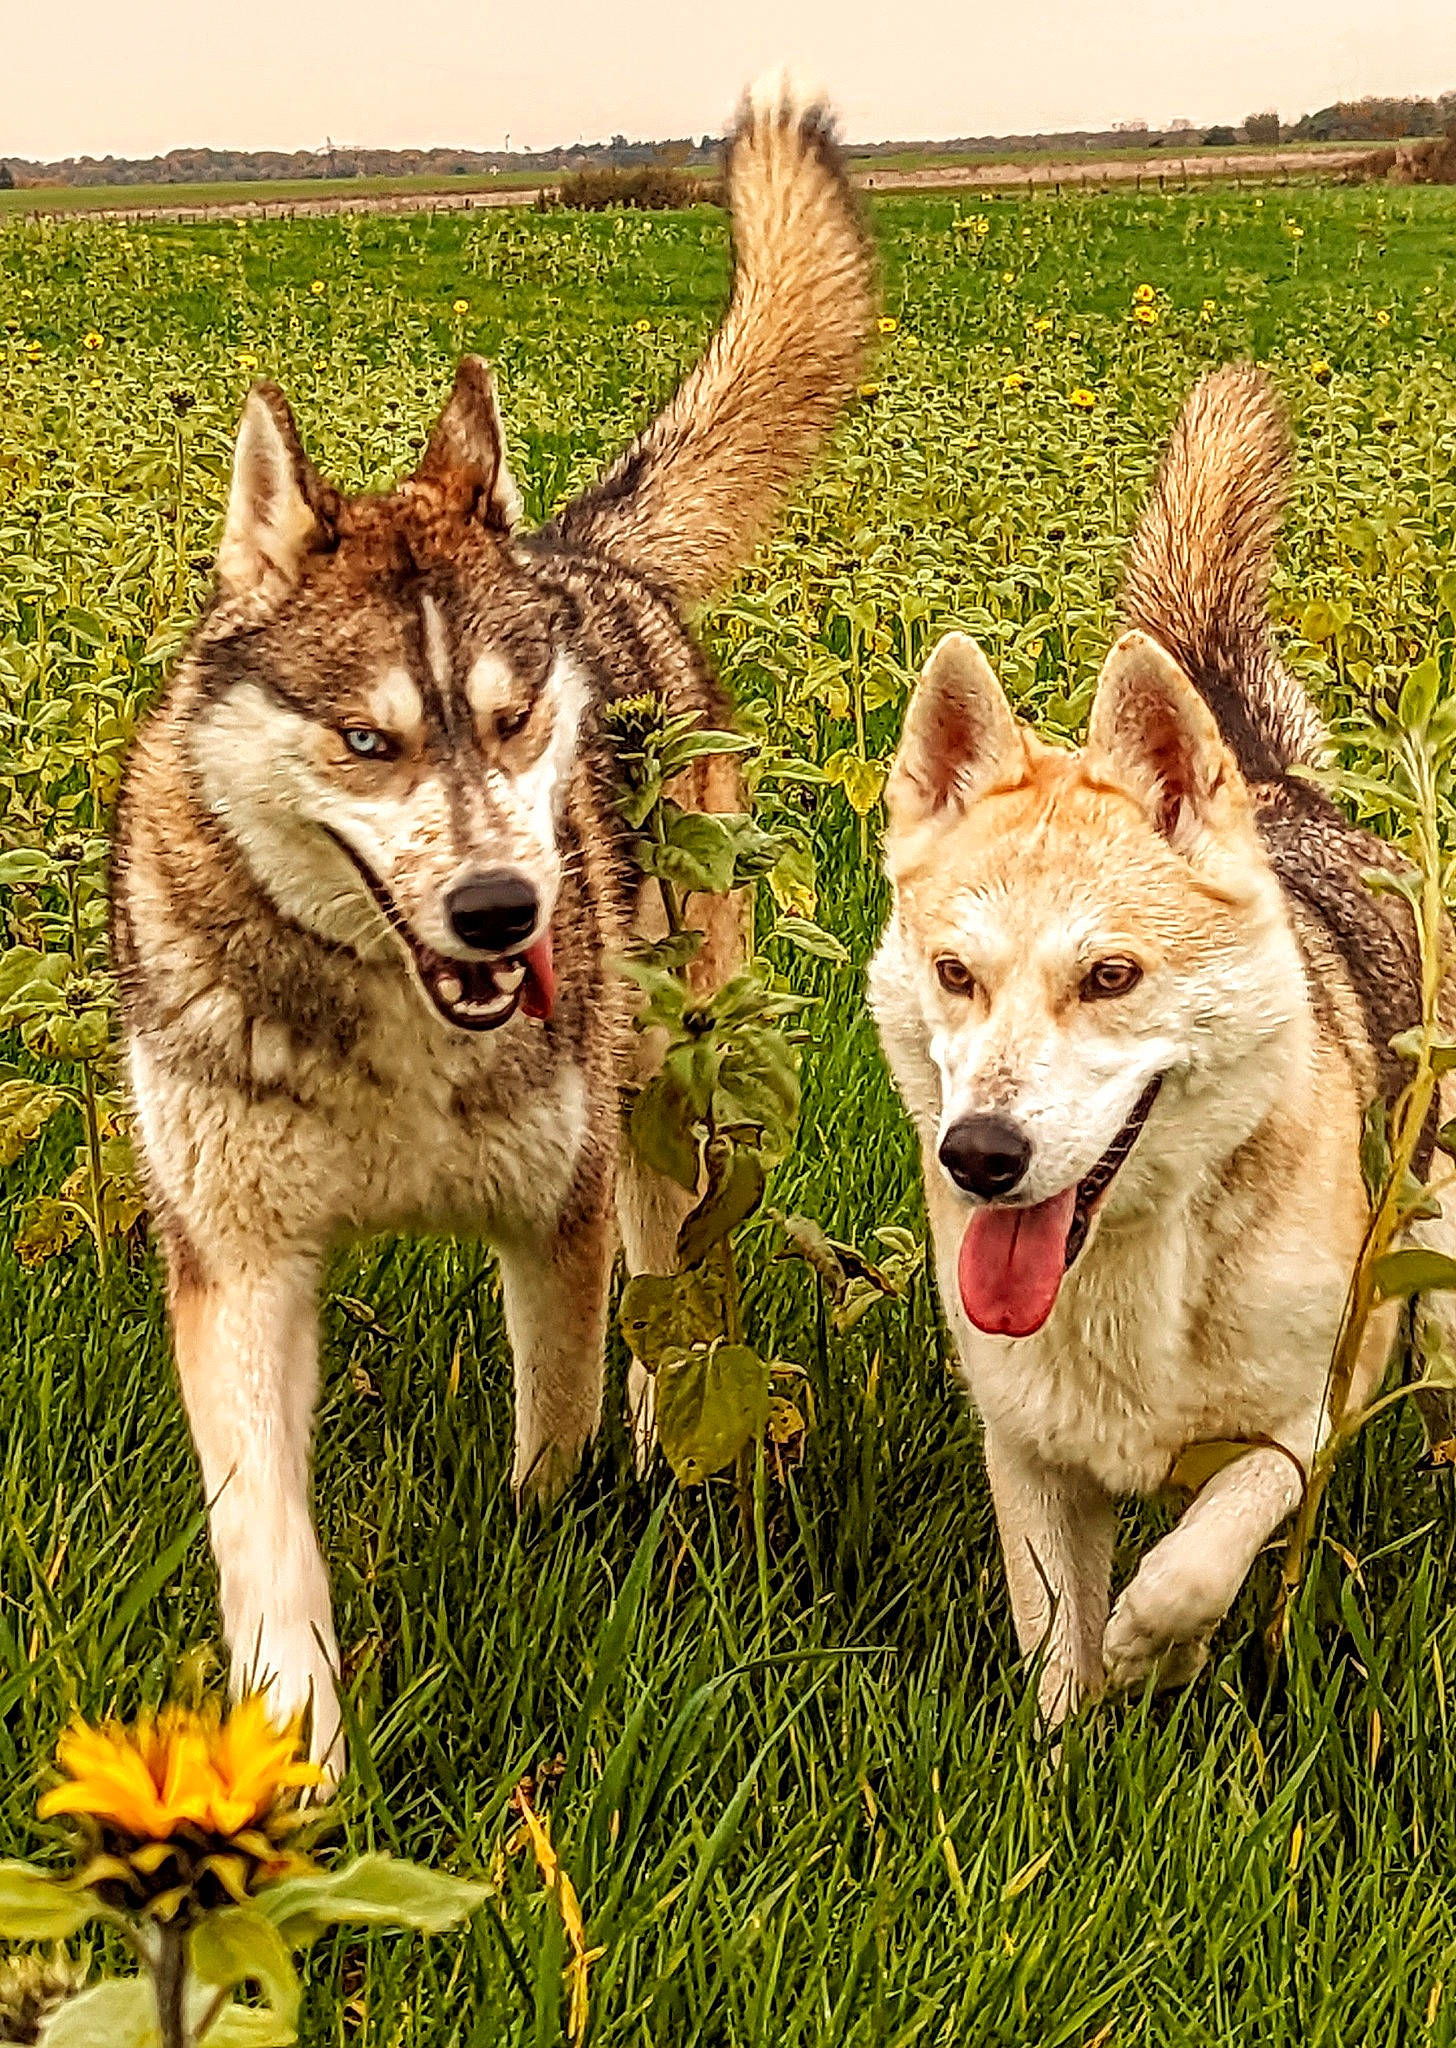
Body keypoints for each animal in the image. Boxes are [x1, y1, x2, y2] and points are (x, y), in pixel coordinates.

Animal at [112, 79, 872, 1762]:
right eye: (368, 742)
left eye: (517, 721)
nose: (501, 907)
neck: (385, 1022)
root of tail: (580, 548)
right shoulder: (237, 1262)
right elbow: (265, 1538)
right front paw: (291, 1760)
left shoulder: (558, 1210)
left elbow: (557, 1429)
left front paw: (554, 1526)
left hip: (675, 1084)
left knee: (676, 1266)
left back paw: (673, 1421)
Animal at [870, 364, 1449, 1719]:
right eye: (955, 974)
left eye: (1110, 977)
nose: (980, 1154)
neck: (1126, 1269)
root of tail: (1281, 789)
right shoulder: (1024, 1449)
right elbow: (1052, 1651)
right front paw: (1084, 1728)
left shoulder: (1309, 1411)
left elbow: (1199, 1557)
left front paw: (1157, 1645)